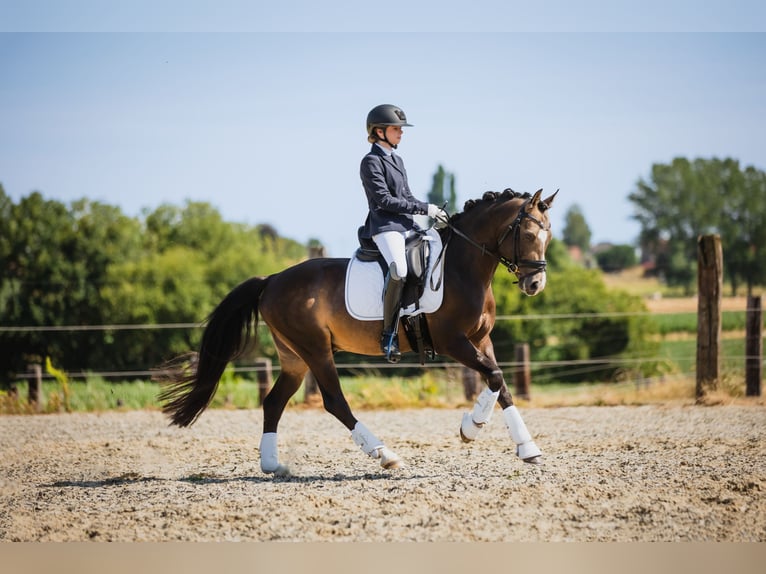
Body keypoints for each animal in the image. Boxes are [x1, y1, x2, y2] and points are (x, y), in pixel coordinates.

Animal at [160, 189, 560, 476]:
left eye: (549, 235)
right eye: (527, 233)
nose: (536, 284)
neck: (462, 268)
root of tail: (271, 280)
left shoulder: (480, 340)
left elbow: (500, 383)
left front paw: (519, 445)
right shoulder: (454, 342)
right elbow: (494, 376)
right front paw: (474, 429)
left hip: (294, 358)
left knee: (273, 402)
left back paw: (272, 465)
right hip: (316, 350)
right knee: (335, 401)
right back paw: (385, 455)